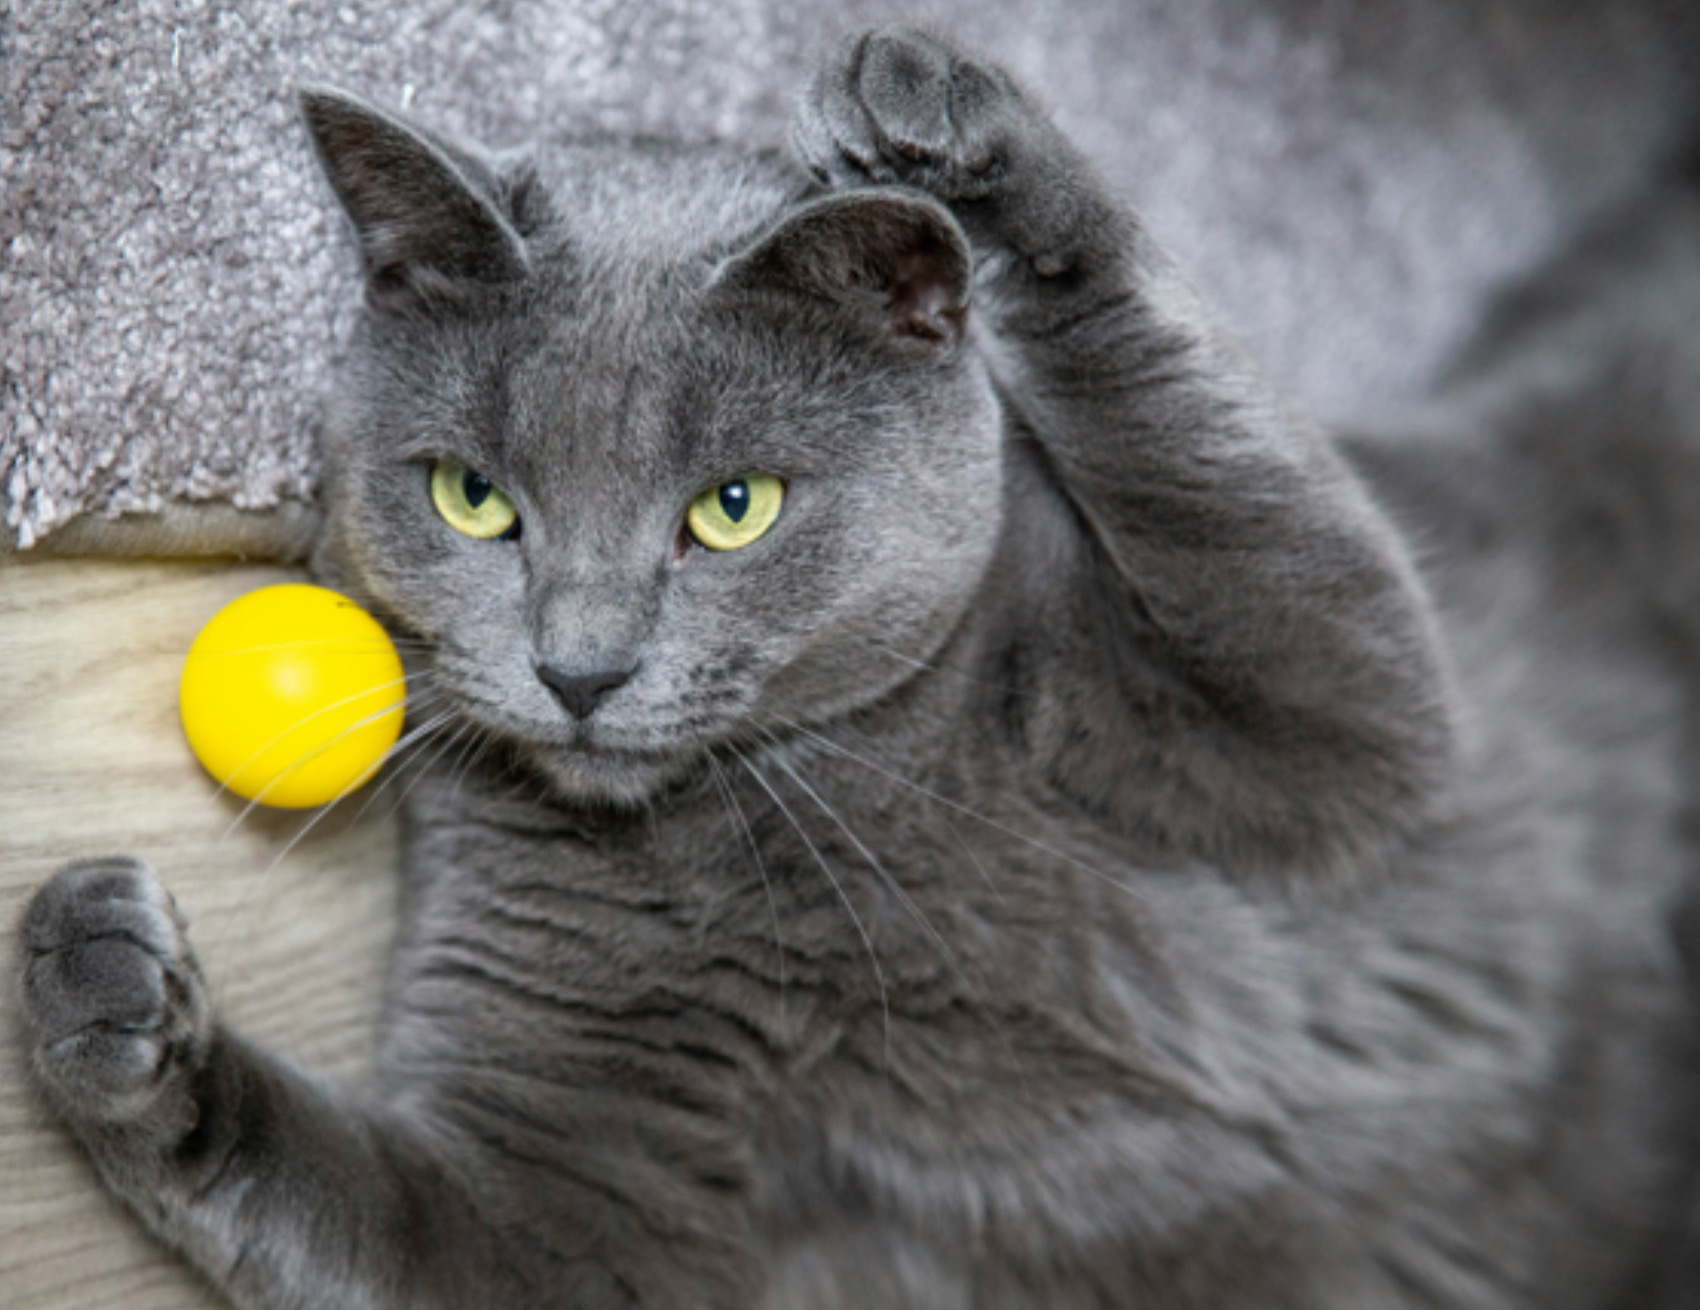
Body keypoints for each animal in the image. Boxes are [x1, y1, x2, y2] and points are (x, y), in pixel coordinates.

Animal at [13, 23, 1700, 1310]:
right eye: (475, 497)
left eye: (732, 507)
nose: (580, 669)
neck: (815, 817)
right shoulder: (567, 1185)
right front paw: (112, 995)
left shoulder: (1321, 724)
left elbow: (1258, 533)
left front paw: (955, 138)